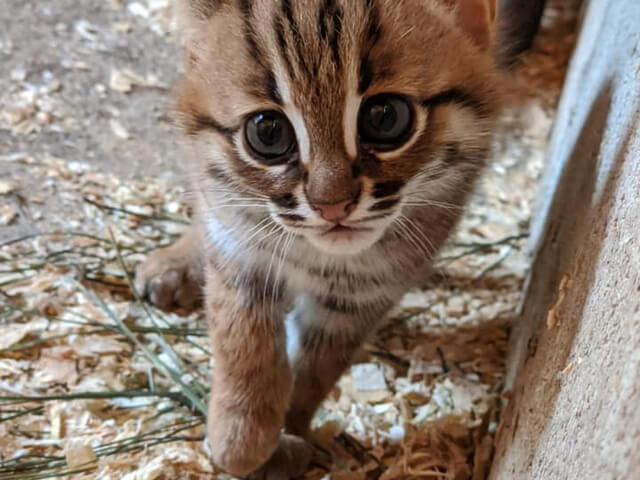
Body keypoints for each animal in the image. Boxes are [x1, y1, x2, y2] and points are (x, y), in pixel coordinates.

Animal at [138, 0, 512, 478]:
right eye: (267, 131)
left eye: (386, 116)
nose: (331, 206)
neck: (317, 256)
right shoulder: (241, 253)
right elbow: (243, 344)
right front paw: (240, 439)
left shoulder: (359, 296)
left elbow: (317, 369)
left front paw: (289, 432)